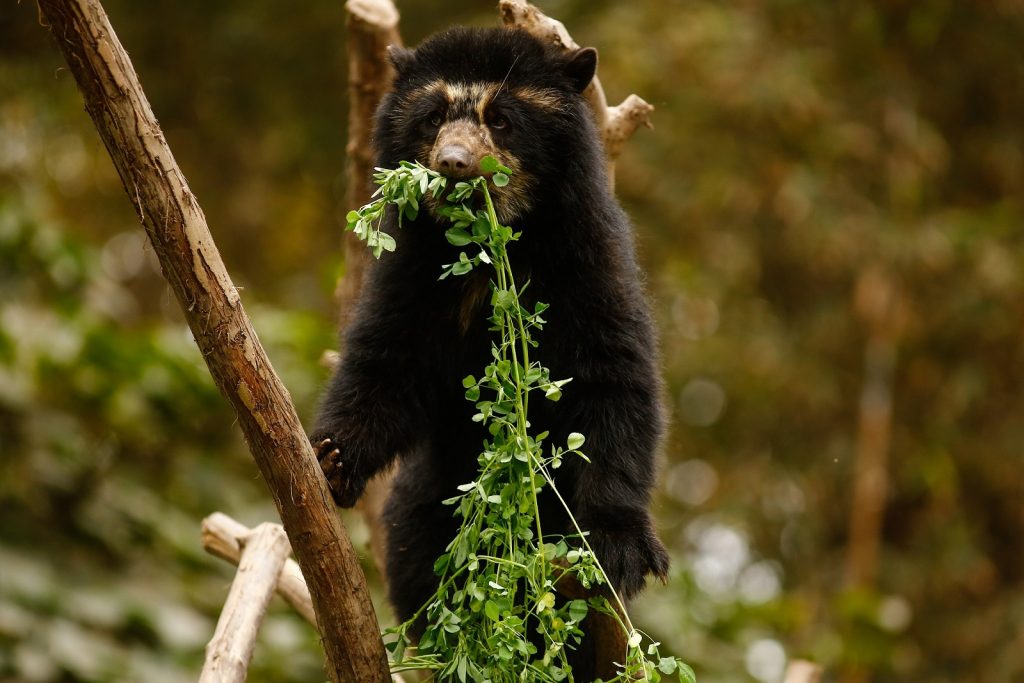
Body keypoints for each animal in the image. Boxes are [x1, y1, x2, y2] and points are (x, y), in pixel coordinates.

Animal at [311, 25, 669, 667]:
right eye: (432, 117)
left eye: (500, 119)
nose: (453, 163)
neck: (489, 250)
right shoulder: (414, 270)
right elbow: (385, 364)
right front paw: (331, 458)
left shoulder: (588, 261)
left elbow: (616, 381)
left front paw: (618, 546)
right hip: (426, 504)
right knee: (417, 557)